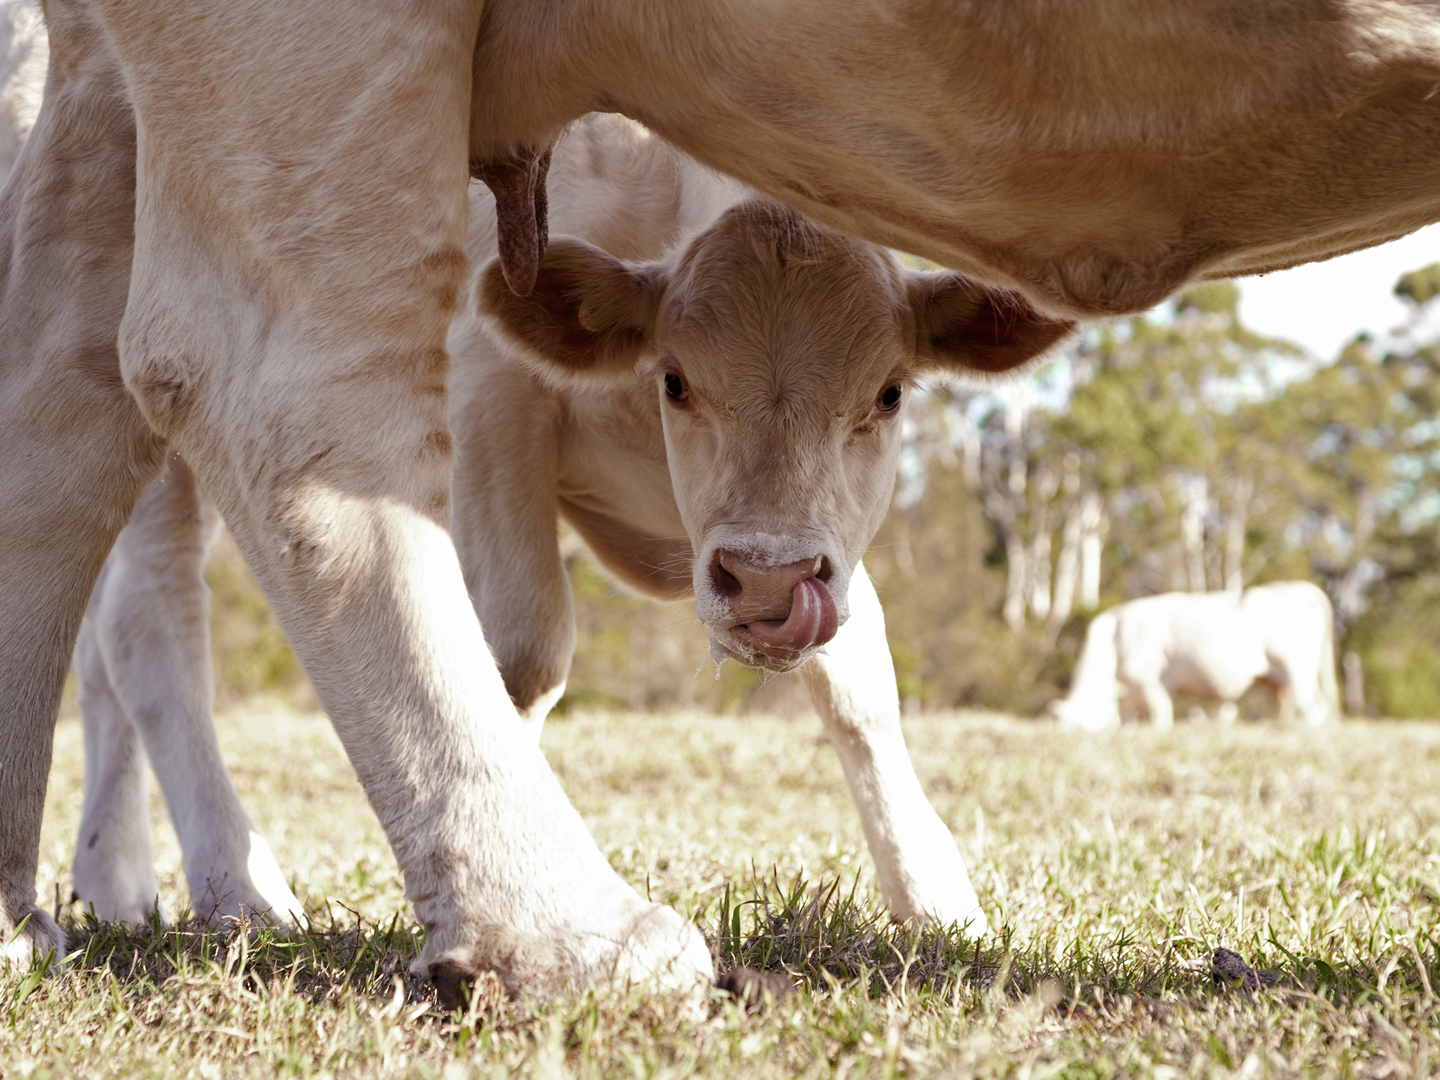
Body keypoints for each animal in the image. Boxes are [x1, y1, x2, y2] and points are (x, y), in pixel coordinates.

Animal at [1054, 584, 1342, 737]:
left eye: (1075, 726)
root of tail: (1298, 588)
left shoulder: (1152, 683)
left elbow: (1161, 716)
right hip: (1278, 680)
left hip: (1298, 672)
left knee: (1313, 709)